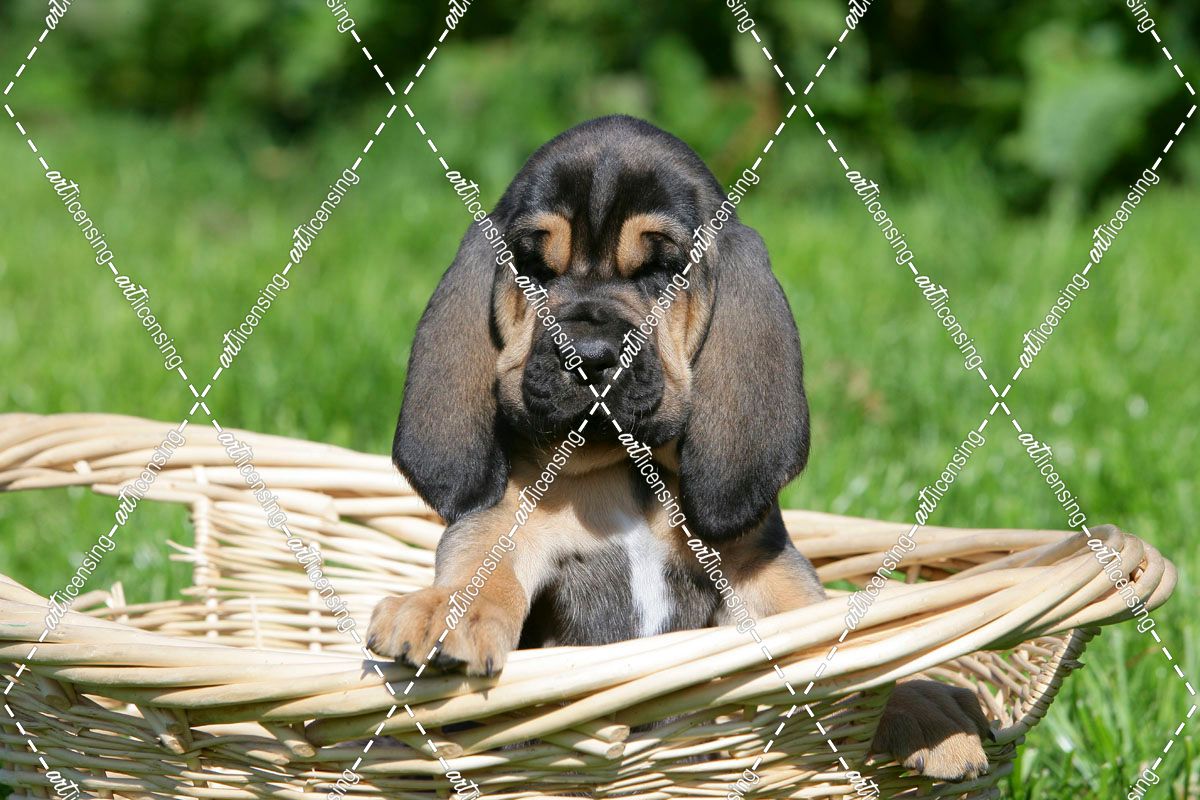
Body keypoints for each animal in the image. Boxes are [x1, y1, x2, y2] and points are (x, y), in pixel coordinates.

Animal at [368, 115, 991, 781]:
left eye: (663, 270)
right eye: (533, 269)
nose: (588, 355)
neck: (626, 466)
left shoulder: (759, 564)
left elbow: (822, 630)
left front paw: (919, 703)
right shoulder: (504, 520)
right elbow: (485, 566)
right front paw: (444, 609)